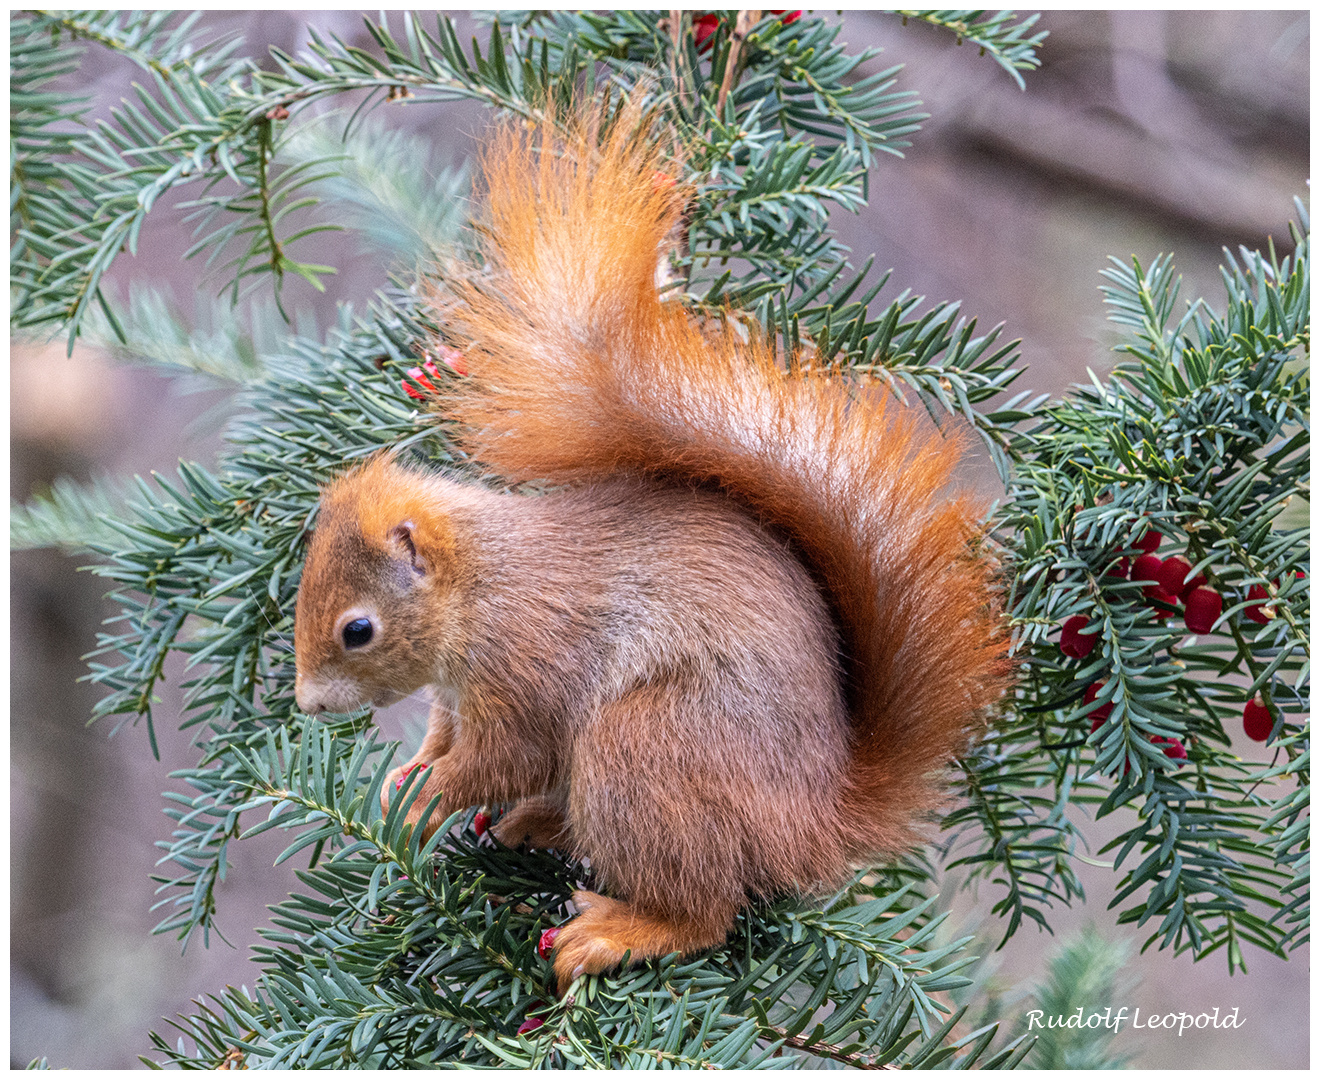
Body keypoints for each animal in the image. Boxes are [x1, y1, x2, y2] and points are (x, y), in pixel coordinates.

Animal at [294, 102, 1003, 992]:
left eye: (358, 630)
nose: (306, 706)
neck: (481, 585)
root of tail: (815, 820)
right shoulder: (457, 692)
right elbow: (446, 735)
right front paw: (408, 772)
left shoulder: (527, 663)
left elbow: (503, 756)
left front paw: (432, 792)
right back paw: (537, 827)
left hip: (645, 751)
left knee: (704, 911)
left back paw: (615, 930)